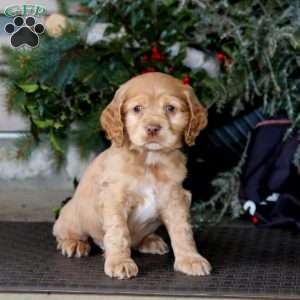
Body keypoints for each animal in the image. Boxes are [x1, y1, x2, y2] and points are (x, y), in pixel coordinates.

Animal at [53, 72, 211, 278]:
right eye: (137, 109)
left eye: (170, 108)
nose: (152, 128)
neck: (149, 160)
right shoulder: (114, 200)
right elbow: (118, 232)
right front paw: (120, 262)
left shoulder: (175, 197)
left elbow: (182, 230)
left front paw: (190, 259)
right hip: (73, 215)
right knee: (63, 232)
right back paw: (74, 244)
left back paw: (150, 241)